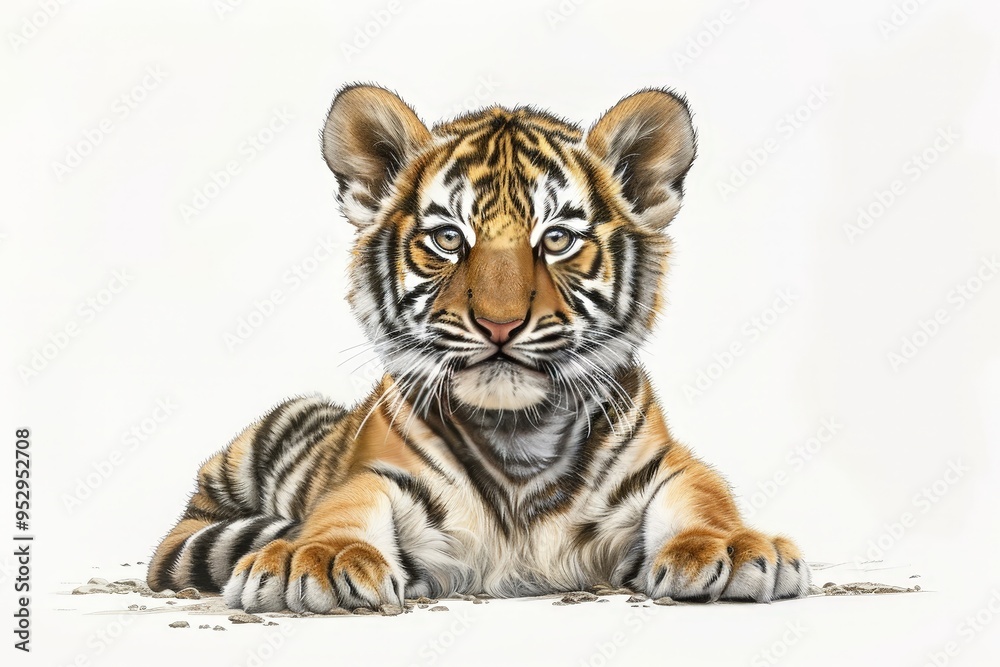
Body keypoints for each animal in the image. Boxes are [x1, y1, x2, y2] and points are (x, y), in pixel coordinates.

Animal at [147, 84, 810, 612]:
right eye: (448, 238)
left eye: (558, 239)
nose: (499, 324)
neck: (521, 437)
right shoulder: (379, 474)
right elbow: (344, 509)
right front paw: (314, 557)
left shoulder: (666, 464)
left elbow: (705, 497)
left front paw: (729, 547)